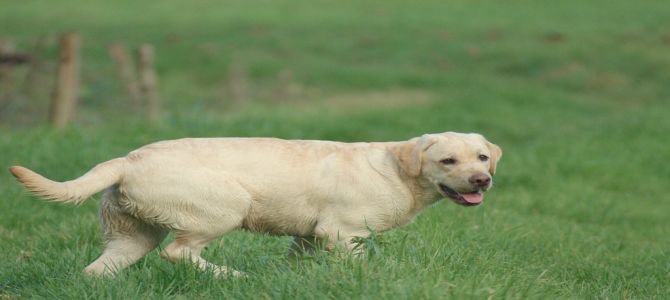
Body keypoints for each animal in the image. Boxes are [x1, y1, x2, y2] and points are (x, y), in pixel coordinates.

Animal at [9, 132, 504, 276]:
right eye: (447, 160)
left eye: (481, 156)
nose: (483, 179)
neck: (398, 169)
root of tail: (126, 160)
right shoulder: (341, 233)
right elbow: (364, 263)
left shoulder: (310, 236)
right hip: (224, 206)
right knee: (179, 252)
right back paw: (232, 276)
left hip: (130, 237)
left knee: (98, 270)